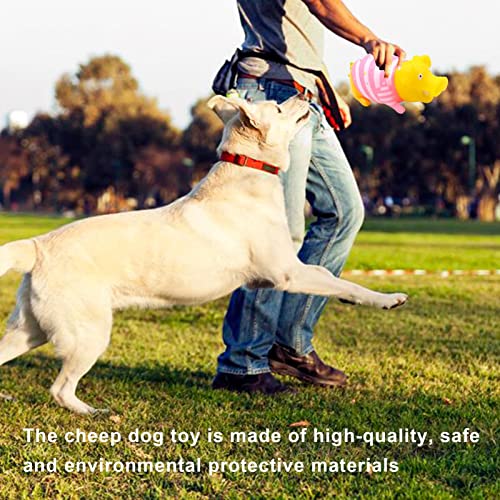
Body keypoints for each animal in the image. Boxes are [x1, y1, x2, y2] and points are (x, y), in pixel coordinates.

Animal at [0, 94, 406, 414]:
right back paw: (93, 412)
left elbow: (330, 280)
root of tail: (37, 246)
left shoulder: (279, 275)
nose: (306, 93)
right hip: (88, 333)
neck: (247, 172)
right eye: (277, 106)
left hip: (30, 330)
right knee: (60, 389)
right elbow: (342, 283)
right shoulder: (287, 272)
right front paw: (387, 298)